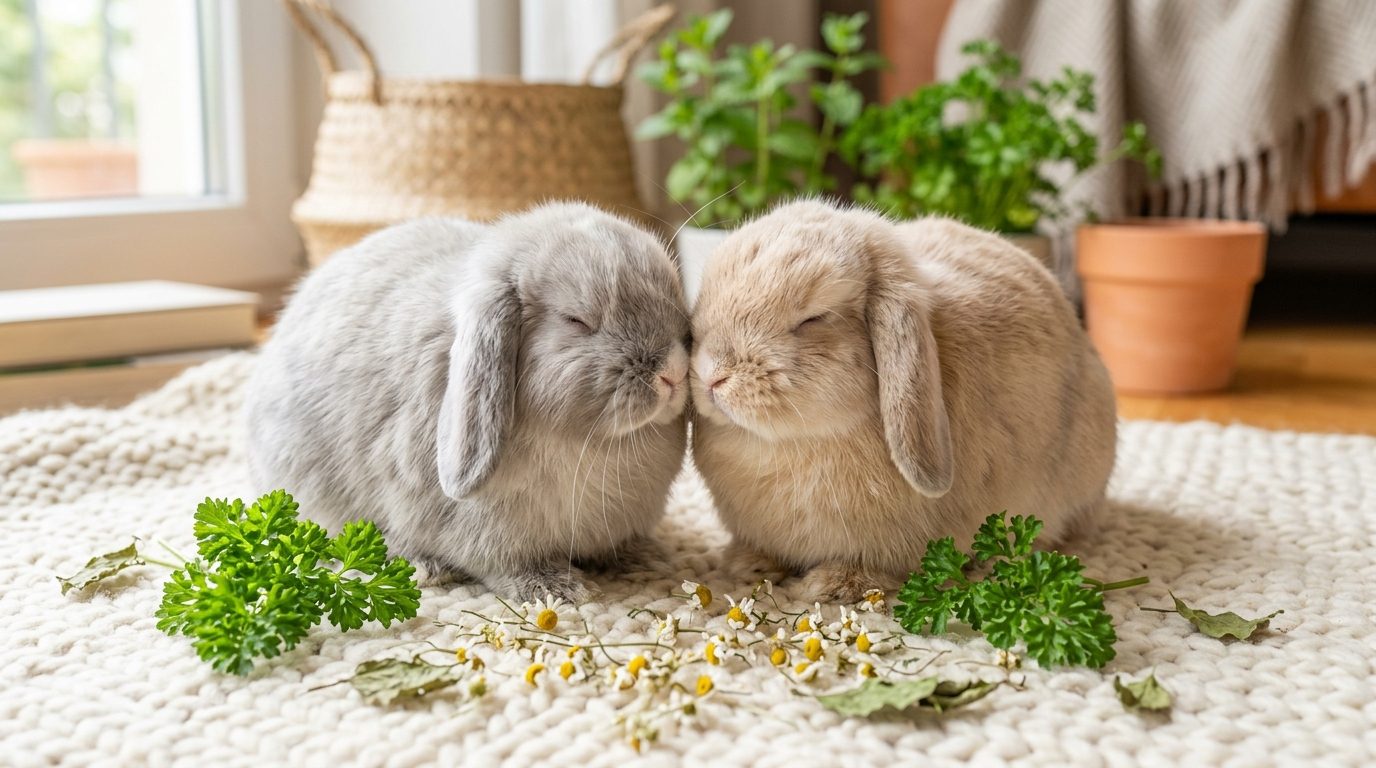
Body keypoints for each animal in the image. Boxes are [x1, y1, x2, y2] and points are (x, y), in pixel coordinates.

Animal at [244, 202, 691, 602]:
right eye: (577, 321)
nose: (672, 373)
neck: (592, 443)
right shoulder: (485, 529)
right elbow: (507, 563)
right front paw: (557, 590)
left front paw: (648, 559)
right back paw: (425, 568)